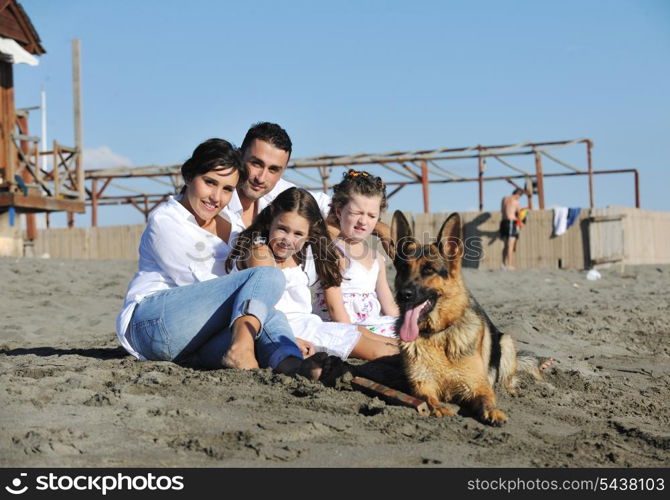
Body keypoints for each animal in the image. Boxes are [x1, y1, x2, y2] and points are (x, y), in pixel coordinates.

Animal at [392, 211, 544, 426]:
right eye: (403, 268)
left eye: (429, 270)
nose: (403, 295)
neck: (439, 335)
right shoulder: (422, 385)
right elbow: (428, 399)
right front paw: (438, 408)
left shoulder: (477, 385)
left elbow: (487, 398)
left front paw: (494, 411)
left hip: (506, 342)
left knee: (507, 378)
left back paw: (511, 389)